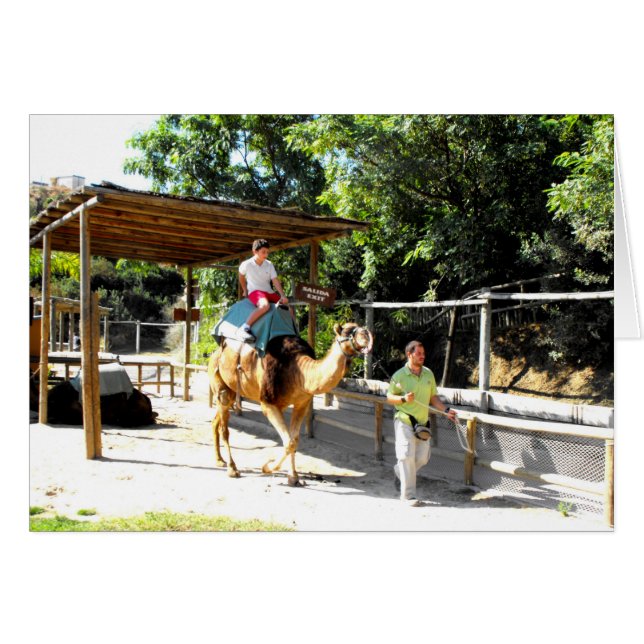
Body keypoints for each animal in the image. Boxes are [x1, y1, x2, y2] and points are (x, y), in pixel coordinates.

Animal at [207, 322, 373, 486]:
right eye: (348, 332)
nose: (366, 335)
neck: (299, 371)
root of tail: (214, 354)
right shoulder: (268, 403)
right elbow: (288, 442)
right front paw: (267, 466)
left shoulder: (302, 403)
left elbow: (294, 440)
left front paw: (292, 477)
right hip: (220, 385)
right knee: (224, 428)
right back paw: (232, 468)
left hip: (230, 391)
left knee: (216, 421)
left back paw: (219, 460)